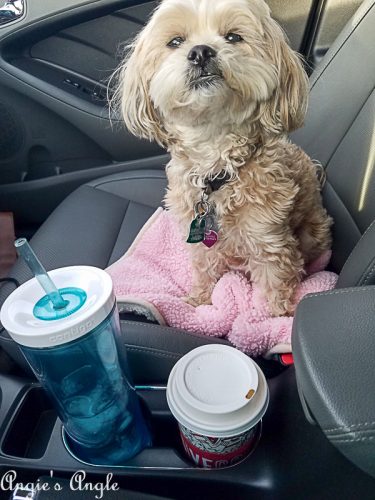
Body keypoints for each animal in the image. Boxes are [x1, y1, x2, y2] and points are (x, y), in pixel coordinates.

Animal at [116, 0, 334, 316]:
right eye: (175, 41)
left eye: (233, 36)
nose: (201, 52)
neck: (217, 163)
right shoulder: (196, 235)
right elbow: (204, 269)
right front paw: (199, 301)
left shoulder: (269, 238)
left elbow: (275, 285)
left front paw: (275, 316)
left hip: (313, 231)